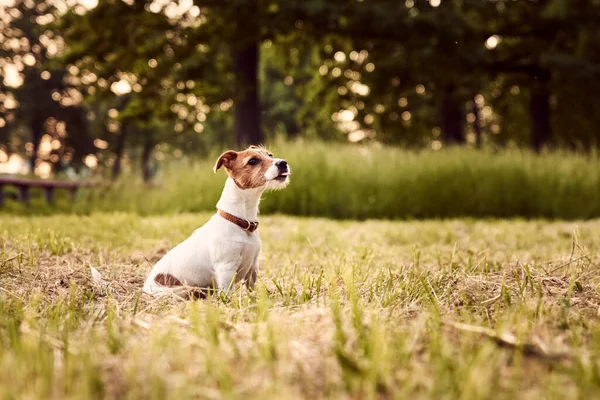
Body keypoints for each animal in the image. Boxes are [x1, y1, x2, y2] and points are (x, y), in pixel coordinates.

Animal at [142, 145, 290, 296]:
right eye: (252, 161)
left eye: (270, 155)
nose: (283, 163)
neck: (240, 221)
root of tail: (145, 287)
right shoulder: (226, 269)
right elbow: (228, 294)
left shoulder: (252, 268)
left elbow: (251, 290)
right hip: (182, 290)